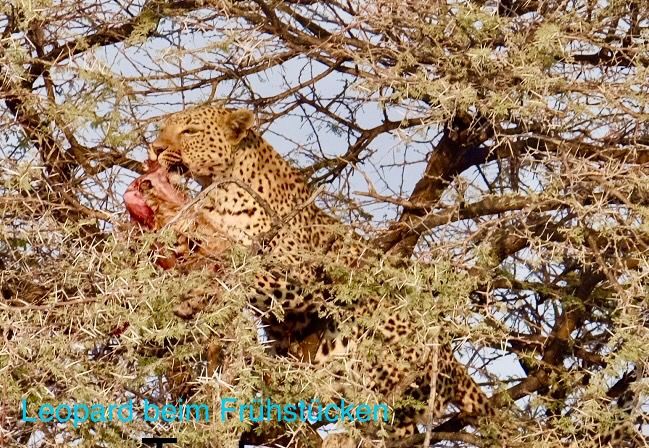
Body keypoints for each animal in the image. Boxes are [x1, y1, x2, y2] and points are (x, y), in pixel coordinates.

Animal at [149, 106, 498, 444]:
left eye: (190, 130)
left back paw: (349, 437)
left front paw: (201, 290)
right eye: (163, 128)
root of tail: (451, 361)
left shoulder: (299, 273)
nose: (155, 149)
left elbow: (246, 274)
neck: (218, 189)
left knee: (397, 417)